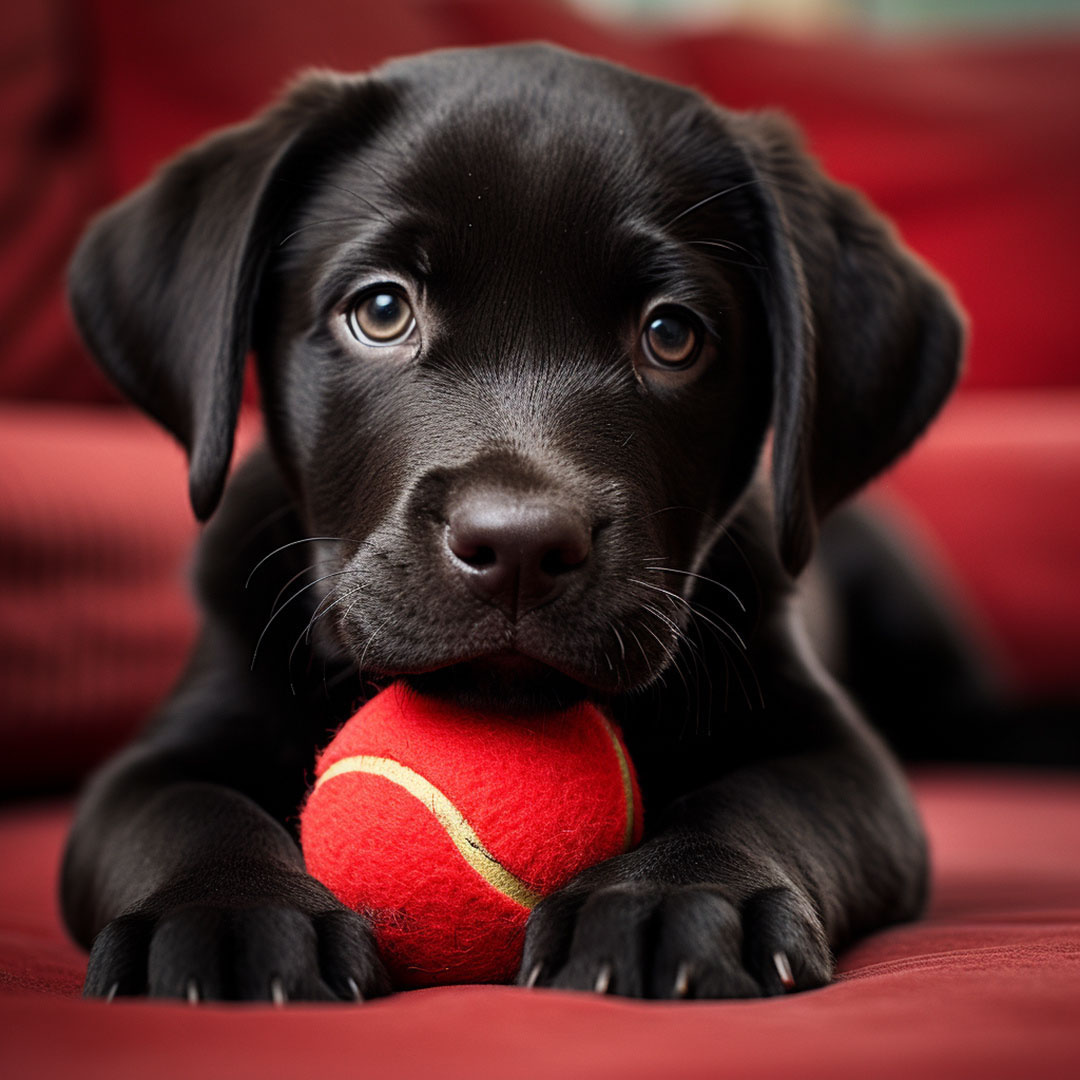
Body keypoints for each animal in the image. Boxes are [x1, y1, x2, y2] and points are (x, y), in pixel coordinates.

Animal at [63, 44, 963, 1002]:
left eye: (672, 334)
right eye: (381, 310)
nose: (521, 547)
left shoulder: (844, 762)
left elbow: (759, 799)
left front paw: (674, 896)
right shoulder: (161, 755)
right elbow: (186, 811)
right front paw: (226, 915)